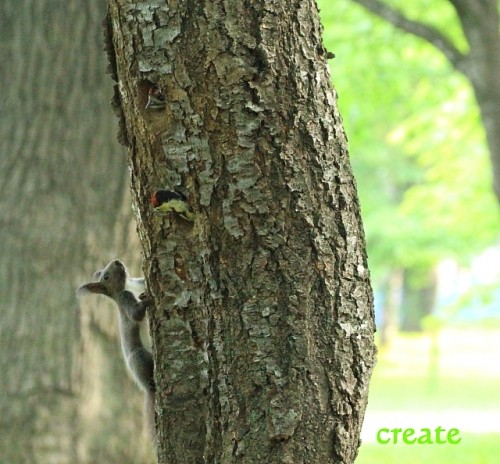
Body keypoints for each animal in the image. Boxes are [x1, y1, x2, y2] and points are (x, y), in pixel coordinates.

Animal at [78, 260, 155, 446]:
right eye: (106, 276)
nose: (117, 262)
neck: (125, 286)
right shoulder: (125, 298)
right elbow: (135, 315)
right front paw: (147, 300)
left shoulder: (136, 282)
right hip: (138, 356)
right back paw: (150, 382)